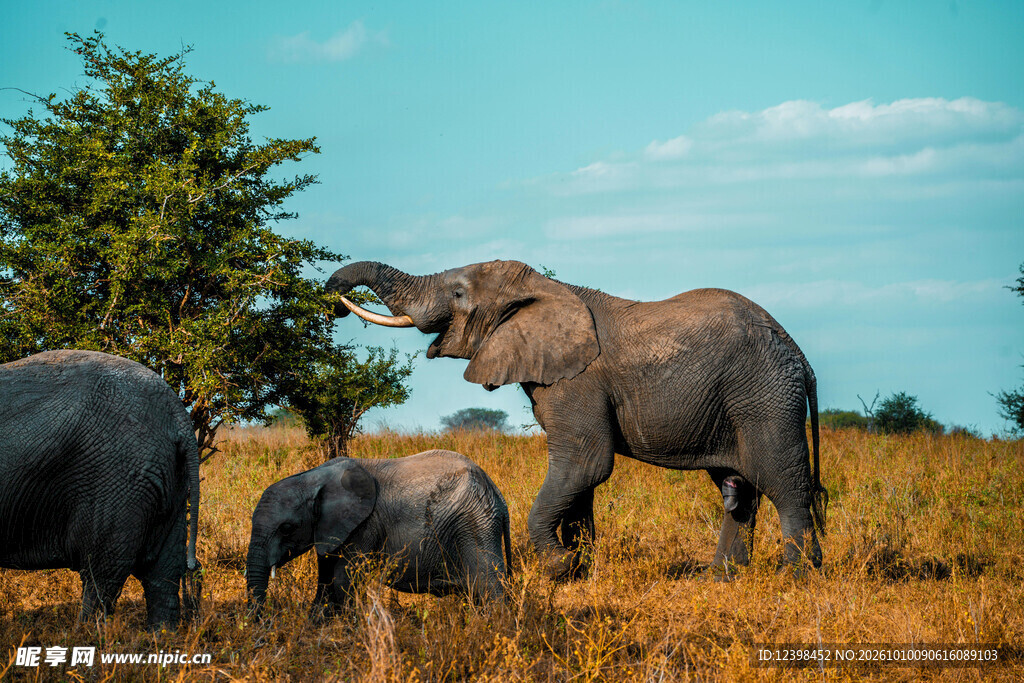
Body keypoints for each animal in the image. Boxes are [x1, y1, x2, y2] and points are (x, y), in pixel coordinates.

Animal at [0, 350, 201, 629]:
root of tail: (178, 415)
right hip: (169, 479)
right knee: (163, 571)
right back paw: (161, 635)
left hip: (116, 480)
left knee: (101, 574)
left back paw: (83, 634)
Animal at [246, 450, 511, 617]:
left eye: (286, 528)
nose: (261, 621)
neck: (314, 477)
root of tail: (498, 495)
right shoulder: (330, 529)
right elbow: (325, 576)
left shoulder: (364, 525)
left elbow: (343, 578)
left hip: (475, 523)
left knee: (490, 586)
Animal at [325, 260, 828, 580]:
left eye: (458, 293)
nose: (331, 298)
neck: (544, 289)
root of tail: (801, 358)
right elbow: (579, 479)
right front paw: (579, 570)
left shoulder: (579, 381)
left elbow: (585, 465)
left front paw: (557, 567)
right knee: (738, 490)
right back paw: (718, 579)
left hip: (765, 397)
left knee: (782, 482)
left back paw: (797, 577)